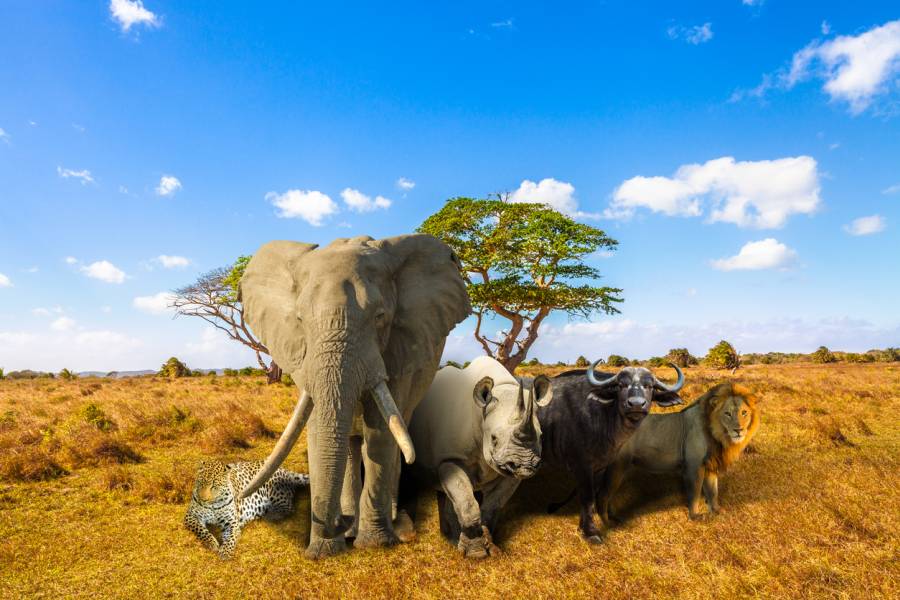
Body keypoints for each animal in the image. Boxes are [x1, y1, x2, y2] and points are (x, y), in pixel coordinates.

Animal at [236, 234, 474, 556]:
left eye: (380, 317)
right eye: (300, 318)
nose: (332, 526)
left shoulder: (399, 351)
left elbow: (381, 432)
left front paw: (375, 544)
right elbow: (316, 428)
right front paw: (327, 549)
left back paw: (393, 524)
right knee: (349, 444)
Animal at [596, 384, 760, 520]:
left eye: (744, 413)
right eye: (727, 413)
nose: (739, 430)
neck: (717, 435)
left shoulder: (710, 466)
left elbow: (713, 491)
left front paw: (717, 511)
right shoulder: (693, 466)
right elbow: (694, 492)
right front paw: (695, 517)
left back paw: (614, 517)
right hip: (616, 467)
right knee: (602, 496)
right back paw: (608, 523)